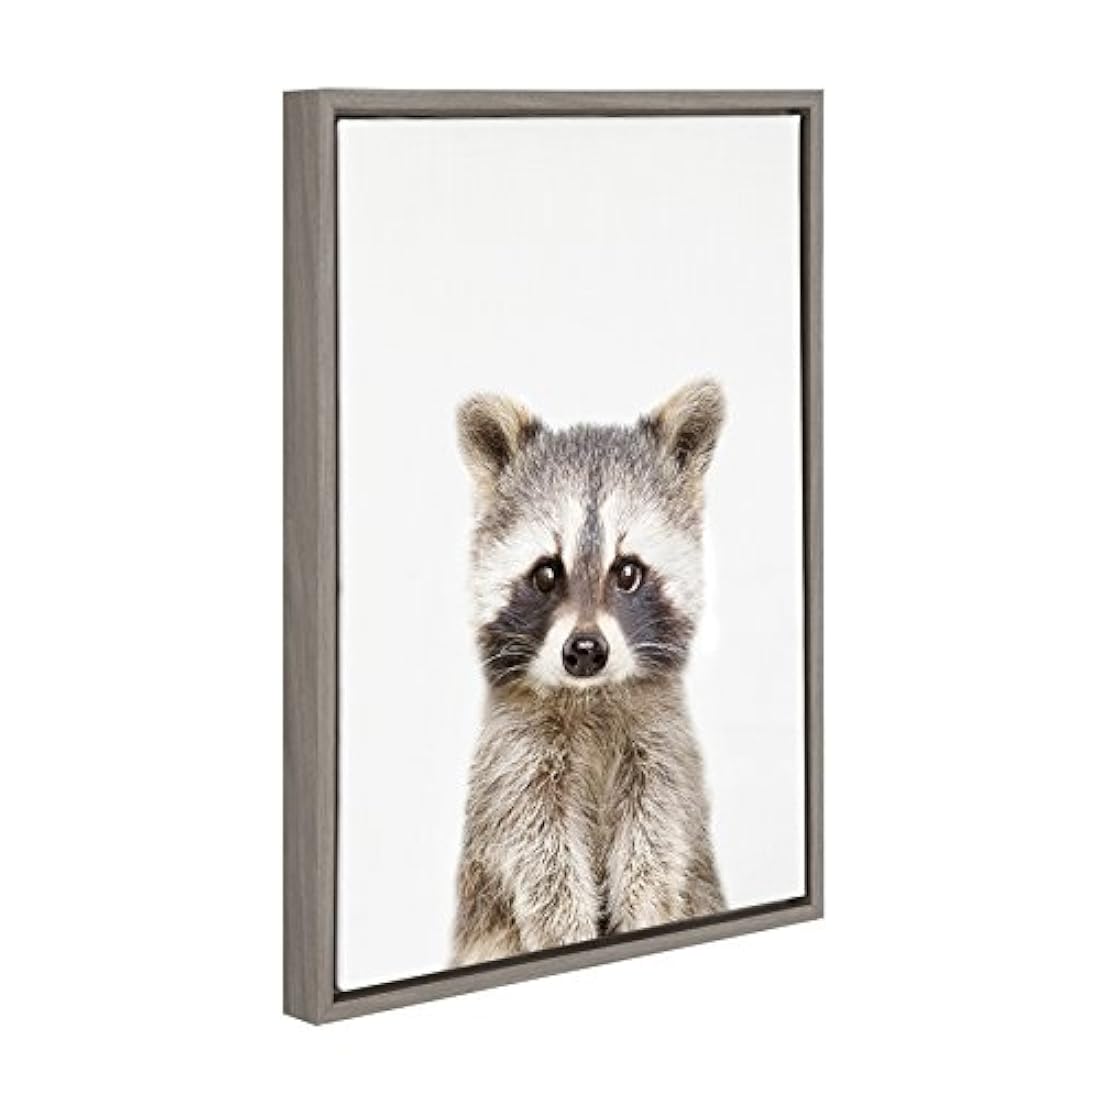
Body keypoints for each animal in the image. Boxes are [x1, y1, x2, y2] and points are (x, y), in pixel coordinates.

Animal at [451, 379, 727, 967]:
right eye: (545, 573)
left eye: (627, 572)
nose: (584, 651)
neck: (592, 695)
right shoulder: (515, 760)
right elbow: (541, 859)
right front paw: (565, 931)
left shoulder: (663, 747)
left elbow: (656, 845)